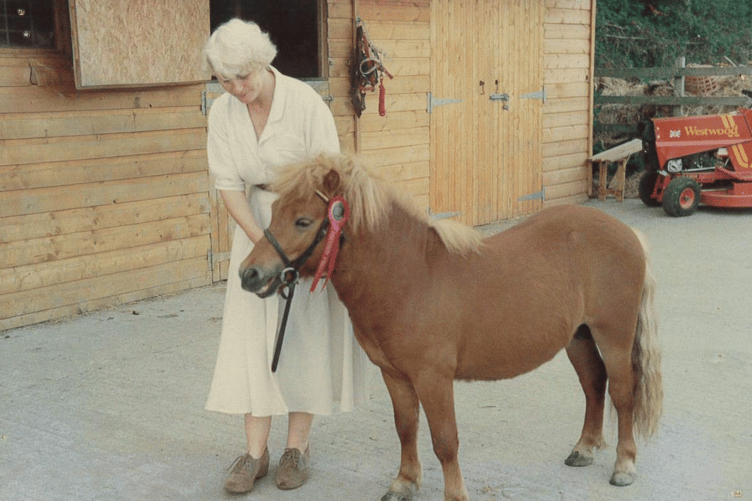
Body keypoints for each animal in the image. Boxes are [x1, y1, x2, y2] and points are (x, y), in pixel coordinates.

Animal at [238, 153, 663, 501]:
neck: (409, 275)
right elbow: (406, 427)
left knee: (622, 392)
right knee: (593, 384)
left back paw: (624, 465)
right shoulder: (395, 375)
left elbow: (444, 440)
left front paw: (454, 493)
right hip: (579, 336)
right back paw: (584, 448)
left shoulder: (433, 378)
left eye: (304, 221)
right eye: (274, 213)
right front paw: (404, 483)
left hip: (613, 335)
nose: (249, 274)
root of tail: (629, 235)